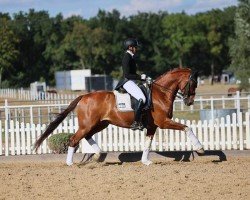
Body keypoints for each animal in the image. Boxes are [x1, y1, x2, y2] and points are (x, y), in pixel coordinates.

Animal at [34, 67, 203, 166]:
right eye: (193, 83)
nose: (189, 102)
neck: (160, 93)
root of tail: (84, 96)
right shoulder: (163, 122)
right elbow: (187, 128)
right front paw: (200, 148)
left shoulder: (152, 126)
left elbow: (147, 143)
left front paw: (145, 161)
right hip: (88, 124)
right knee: (74, 139)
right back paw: (70, 163)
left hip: (100, 124)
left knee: (87, 136)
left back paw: (98, 155)